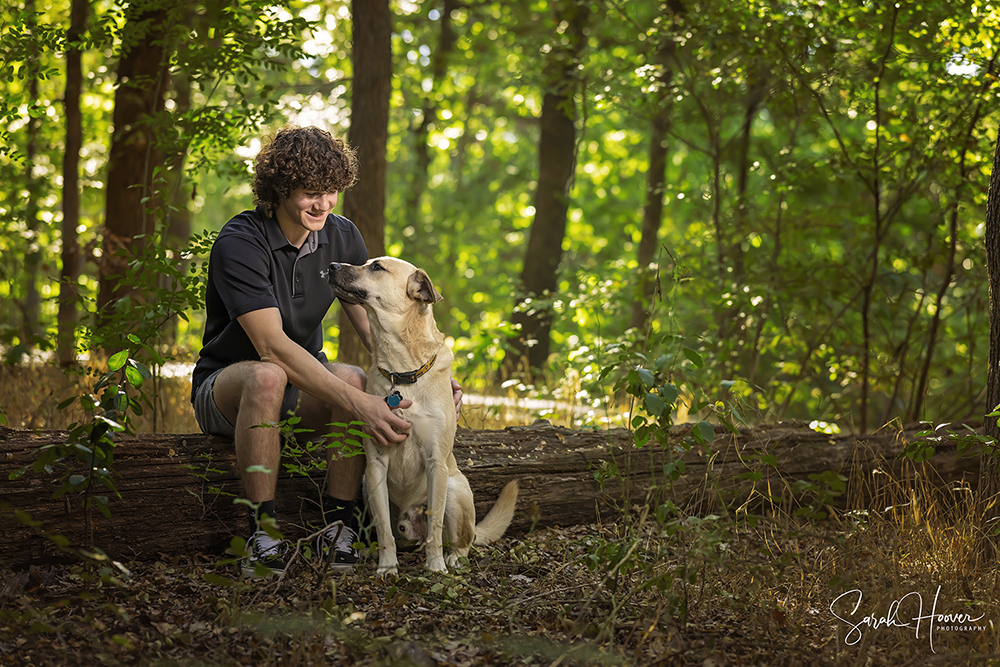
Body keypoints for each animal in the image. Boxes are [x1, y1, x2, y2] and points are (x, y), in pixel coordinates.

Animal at [330, 258, 520, 576]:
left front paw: (435, 566)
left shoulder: (435, 463)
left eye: (376, 267)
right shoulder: (376, 465)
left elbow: (435, 524)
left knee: (462, 540)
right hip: (368, 488)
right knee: (393, 532)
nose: (331, 265)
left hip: (455, 489)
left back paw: (452, 557)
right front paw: (387, 567)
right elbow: (384, 529)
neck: (401, 370)